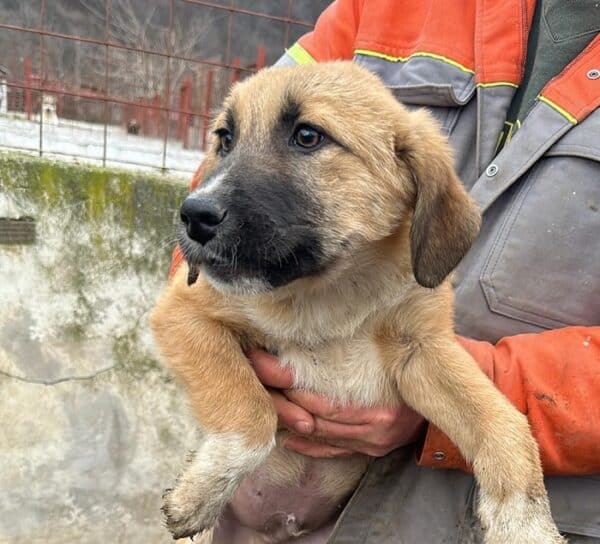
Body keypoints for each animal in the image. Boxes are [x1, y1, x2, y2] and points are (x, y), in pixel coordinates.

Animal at [149, 61, 564, 540]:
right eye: (225, 139)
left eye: (308, 136)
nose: (193, 215)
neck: (332, 294)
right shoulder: (183, 313)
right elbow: (250, 410)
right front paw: (199, 494)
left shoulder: (424, 349)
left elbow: (504, 423)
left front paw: (526, 526)